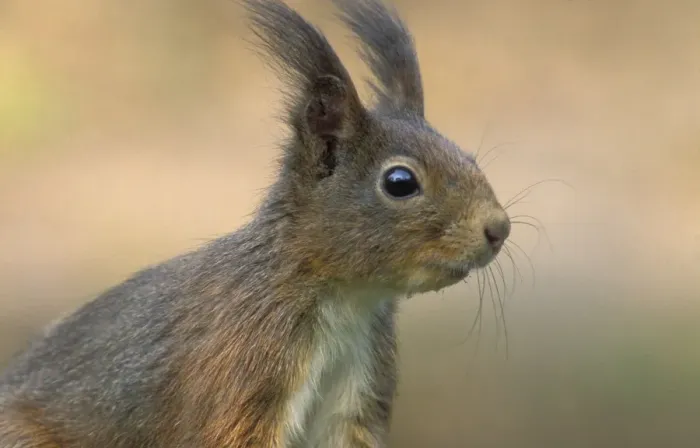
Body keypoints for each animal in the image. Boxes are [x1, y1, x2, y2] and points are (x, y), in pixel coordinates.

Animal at [0, 0, 511, 446]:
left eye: (468, 156)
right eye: (400, 182)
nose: (499, 230)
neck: (346, 299)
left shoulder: (357, 394)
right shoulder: (242, 367)